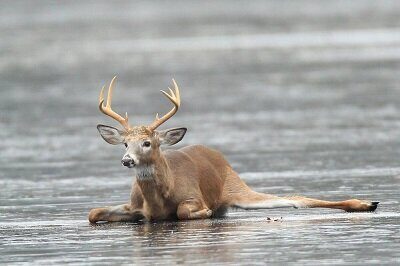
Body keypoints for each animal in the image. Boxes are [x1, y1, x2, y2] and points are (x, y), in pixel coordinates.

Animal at [89, 76, 380, 222]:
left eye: (147, 143)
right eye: (125, 143)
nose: (127, 159)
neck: (159, 197)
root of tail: (218, 156)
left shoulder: (192, 196)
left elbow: (184, 211)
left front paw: (205, 212)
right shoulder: (134, 206)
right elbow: (93, 213)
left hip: (236, 187)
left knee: (297, 198)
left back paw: (367, 203)